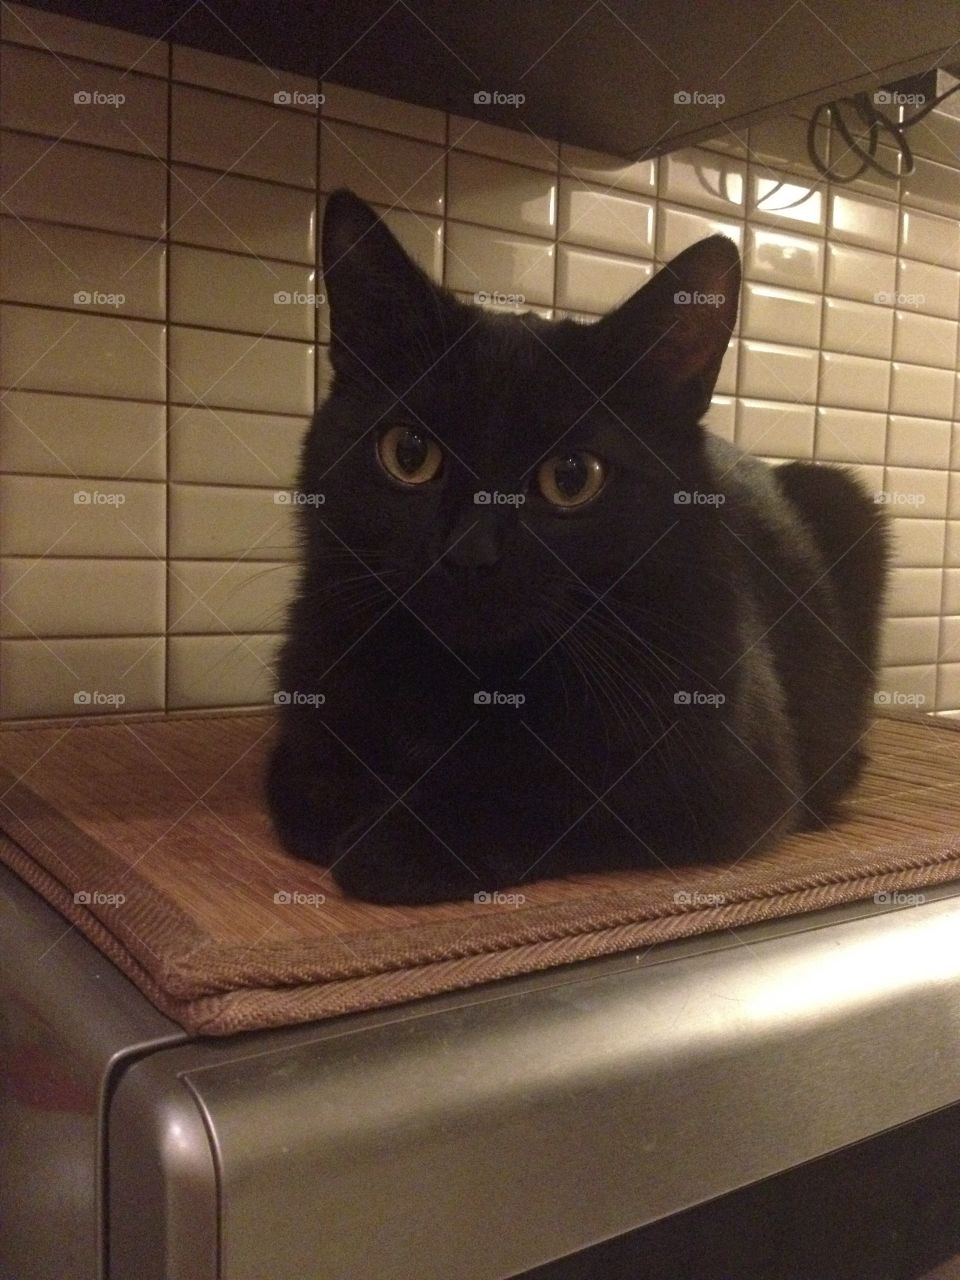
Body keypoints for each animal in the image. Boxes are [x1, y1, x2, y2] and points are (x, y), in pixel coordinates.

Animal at [267, 192, 890, 911]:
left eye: (572, 478)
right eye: (409, 454)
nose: (469, 554)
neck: (471, 682)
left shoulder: (726, 777)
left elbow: (558, 790)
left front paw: (400, 845)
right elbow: (310, 781)